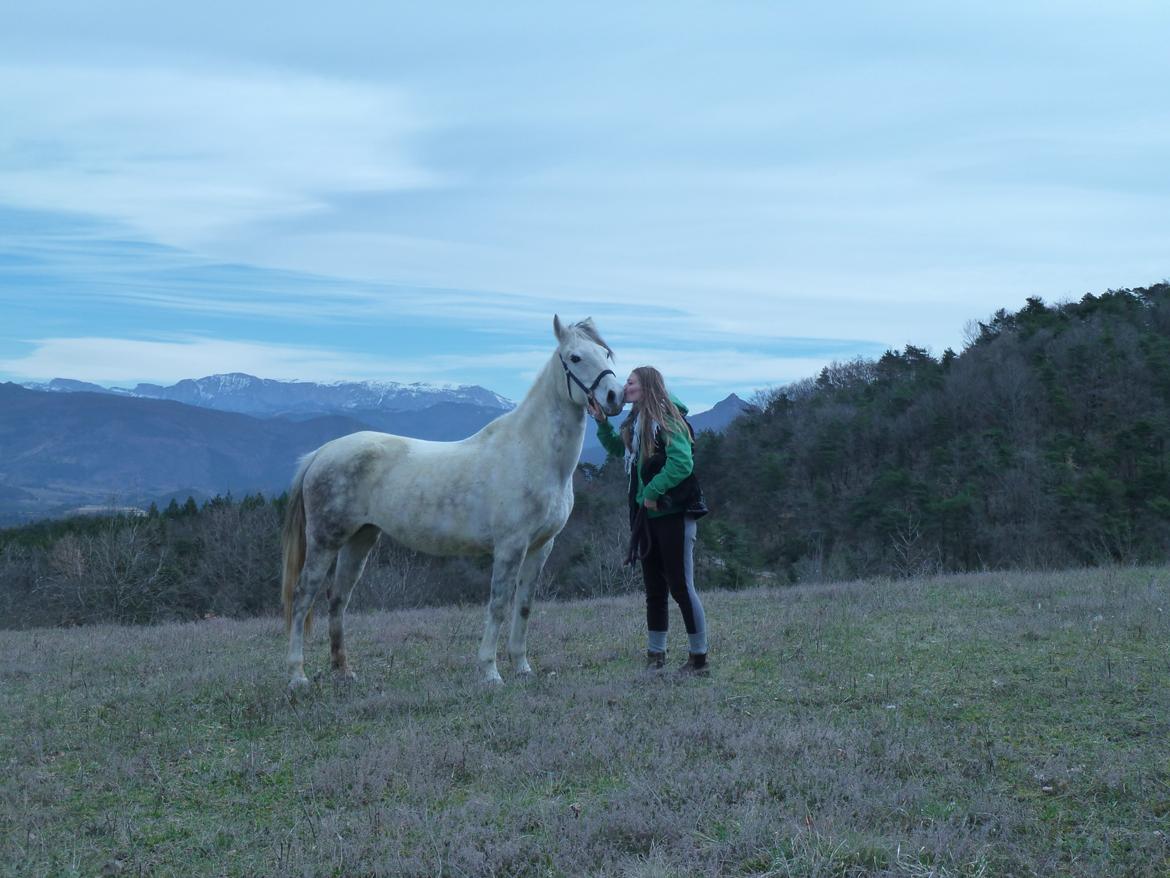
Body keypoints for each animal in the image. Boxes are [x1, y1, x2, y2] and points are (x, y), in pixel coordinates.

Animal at [279, 316, 627, 688]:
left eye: (606, 353)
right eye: (575, 357)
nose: (614, 396)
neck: (531, 452)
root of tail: (320, 453)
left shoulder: (540, 547)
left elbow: (524, 606)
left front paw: (522, 667)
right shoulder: (510, 546)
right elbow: (498, 604)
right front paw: (490, 671)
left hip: (360, 539)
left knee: (338, 599)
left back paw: (343, 671)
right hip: (325, 541)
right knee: (302, 597)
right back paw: (297, 675)